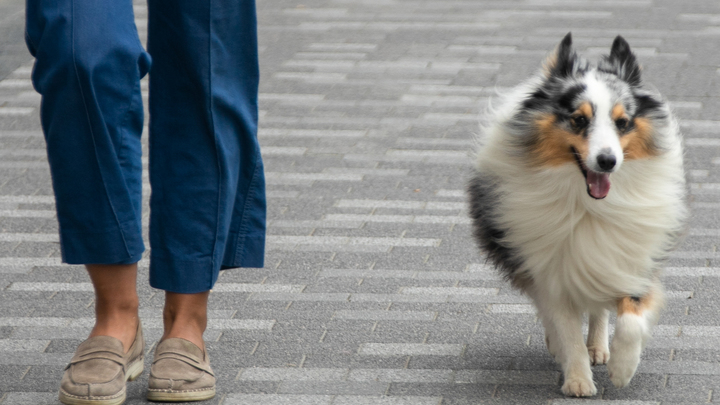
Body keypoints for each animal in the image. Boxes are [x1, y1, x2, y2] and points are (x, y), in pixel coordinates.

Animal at [466, 33, 688, 396]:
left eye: (622, 122)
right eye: (579, 119)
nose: (607, 161)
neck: (588, 204)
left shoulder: (632, 257)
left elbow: (631, 317)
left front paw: (622, 369)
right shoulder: (552, 269)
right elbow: (566, 328)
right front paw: (578, 381)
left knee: (599, 311)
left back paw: (598, 348)